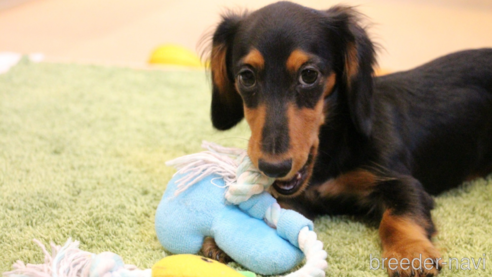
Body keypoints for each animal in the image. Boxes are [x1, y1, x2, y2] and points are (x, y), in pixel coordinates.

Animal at [201, 1, 492, 274]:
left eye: (309, 75)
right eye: (246, 77)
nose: (273, 167)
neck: (331, 148)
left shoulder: (402, 182)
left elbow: (396, 216)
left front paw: (410, 254)